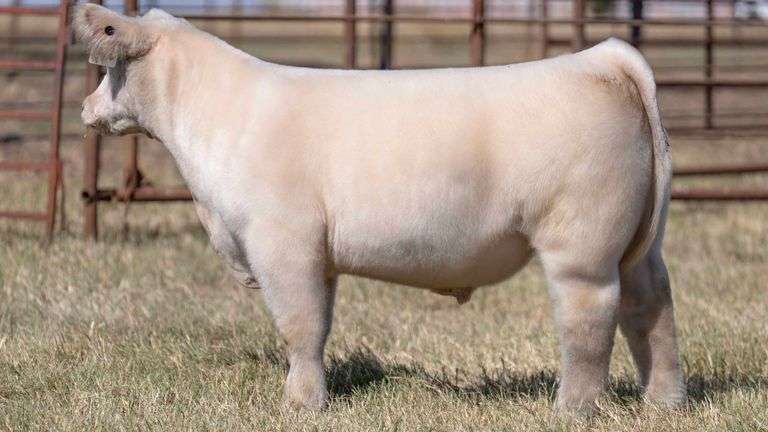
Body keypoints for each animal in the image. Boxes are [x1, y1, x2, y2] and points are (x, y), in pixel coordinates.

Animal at [74, 4, 685, 414]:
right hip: (639, 244)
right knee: (651, 307)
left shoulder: (283, 242)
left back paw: (571, 409)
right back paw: (663, 401)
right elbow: (318, 323)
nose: (84, 107)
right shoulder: (313, 253)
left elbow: (300, 325)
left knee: (591, 317)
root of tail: (602, 58)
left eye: (110, 64)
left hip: (581, 242)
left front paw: (301, 405)